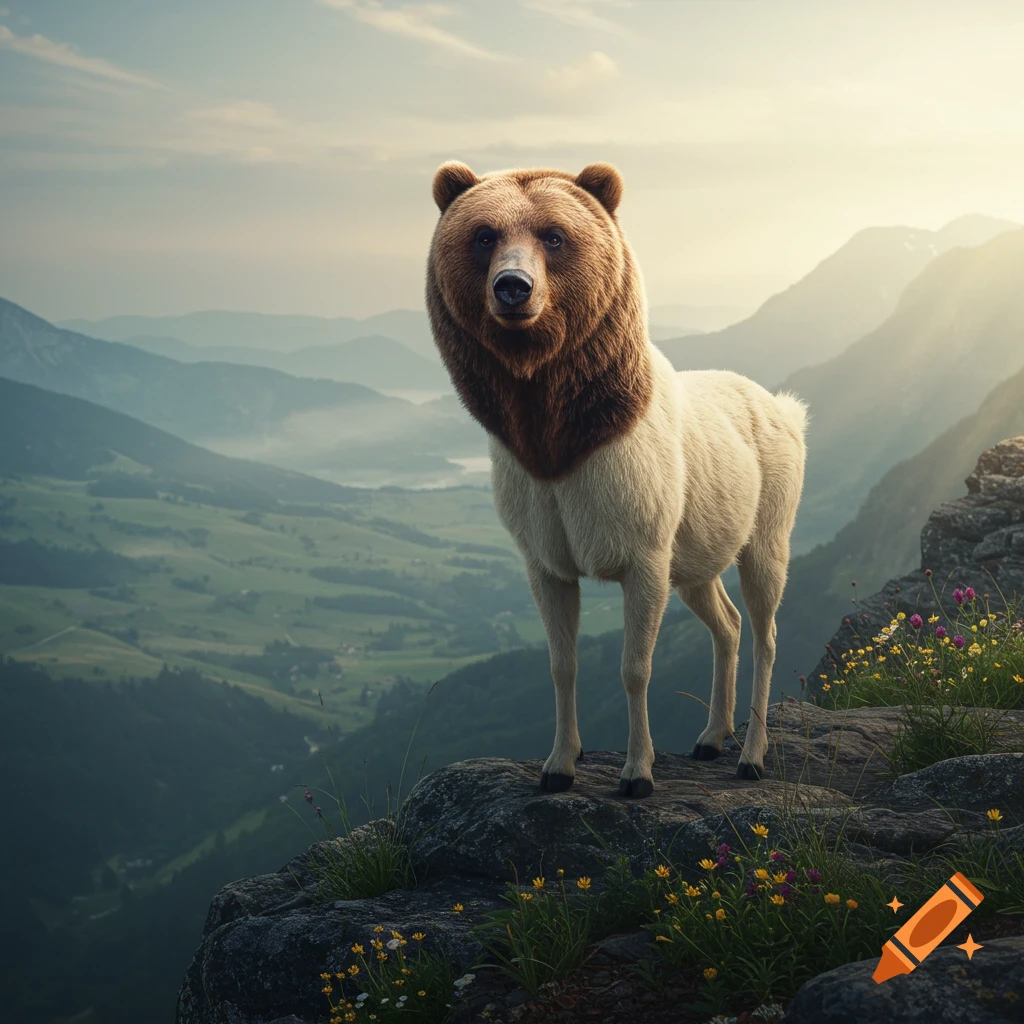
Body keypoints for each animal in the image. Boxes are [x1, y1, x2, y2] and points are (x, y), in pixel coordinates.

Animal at [425, 160, 807, 796]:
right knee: (725, 624)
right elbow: (562, 664)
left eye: (555, 235)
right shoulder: (546, 558)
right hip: (698, 549)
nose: (512, 288)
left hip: (767, 530)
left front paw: (637, 773)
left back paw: (751, 755)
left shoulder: (644, 552)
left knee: (766, 633)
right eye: (483, 235)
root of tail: (784, 407)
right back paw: (710, 737)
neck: (559, 454)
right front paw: (559, 765)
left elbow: (635, 669)